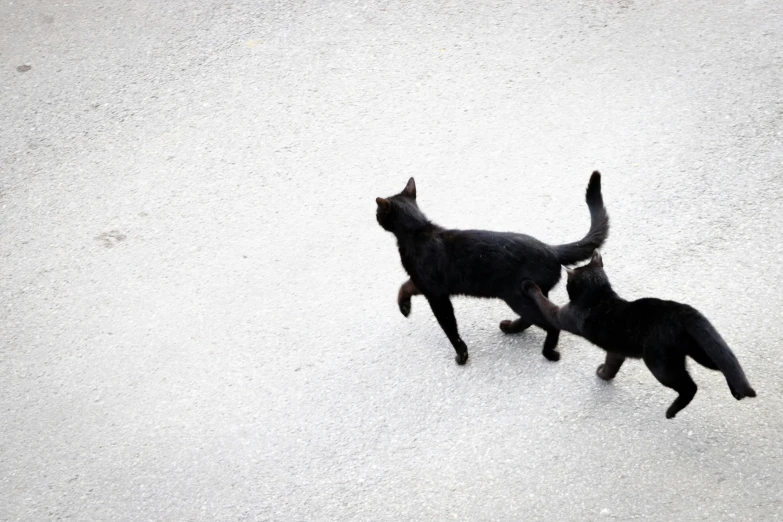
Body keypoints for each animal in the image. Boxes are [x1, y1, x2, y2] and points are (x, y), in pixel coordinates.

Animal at [376, 173, 608, 364]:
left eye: (378, 211)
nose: (375, 214)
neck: (418, 233)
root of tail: (551, 249)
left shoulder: (437, 295)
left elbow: (449, 326)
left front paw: (462, 354)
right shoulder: (423, 283)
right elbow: (405, 286)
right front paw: (404, 307)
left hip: (517, 296)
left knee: (550, 323)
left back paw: (548, 352)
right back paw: (510, 328)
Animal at [524, 250, 756, 416]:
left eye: (568, 283)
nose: (566, 284)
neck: (598, 297)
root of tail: (680, 311)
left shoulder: (562, 315)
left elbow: (545, 304)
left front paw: (530, 286)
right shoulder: (616, 350)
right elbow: (612, 365)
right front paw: (604, 375)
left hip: (661, 365)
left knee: (691, 387)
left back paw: (671, 412)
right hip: (700, 350)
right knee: (726, 364)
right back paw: (737, 392)